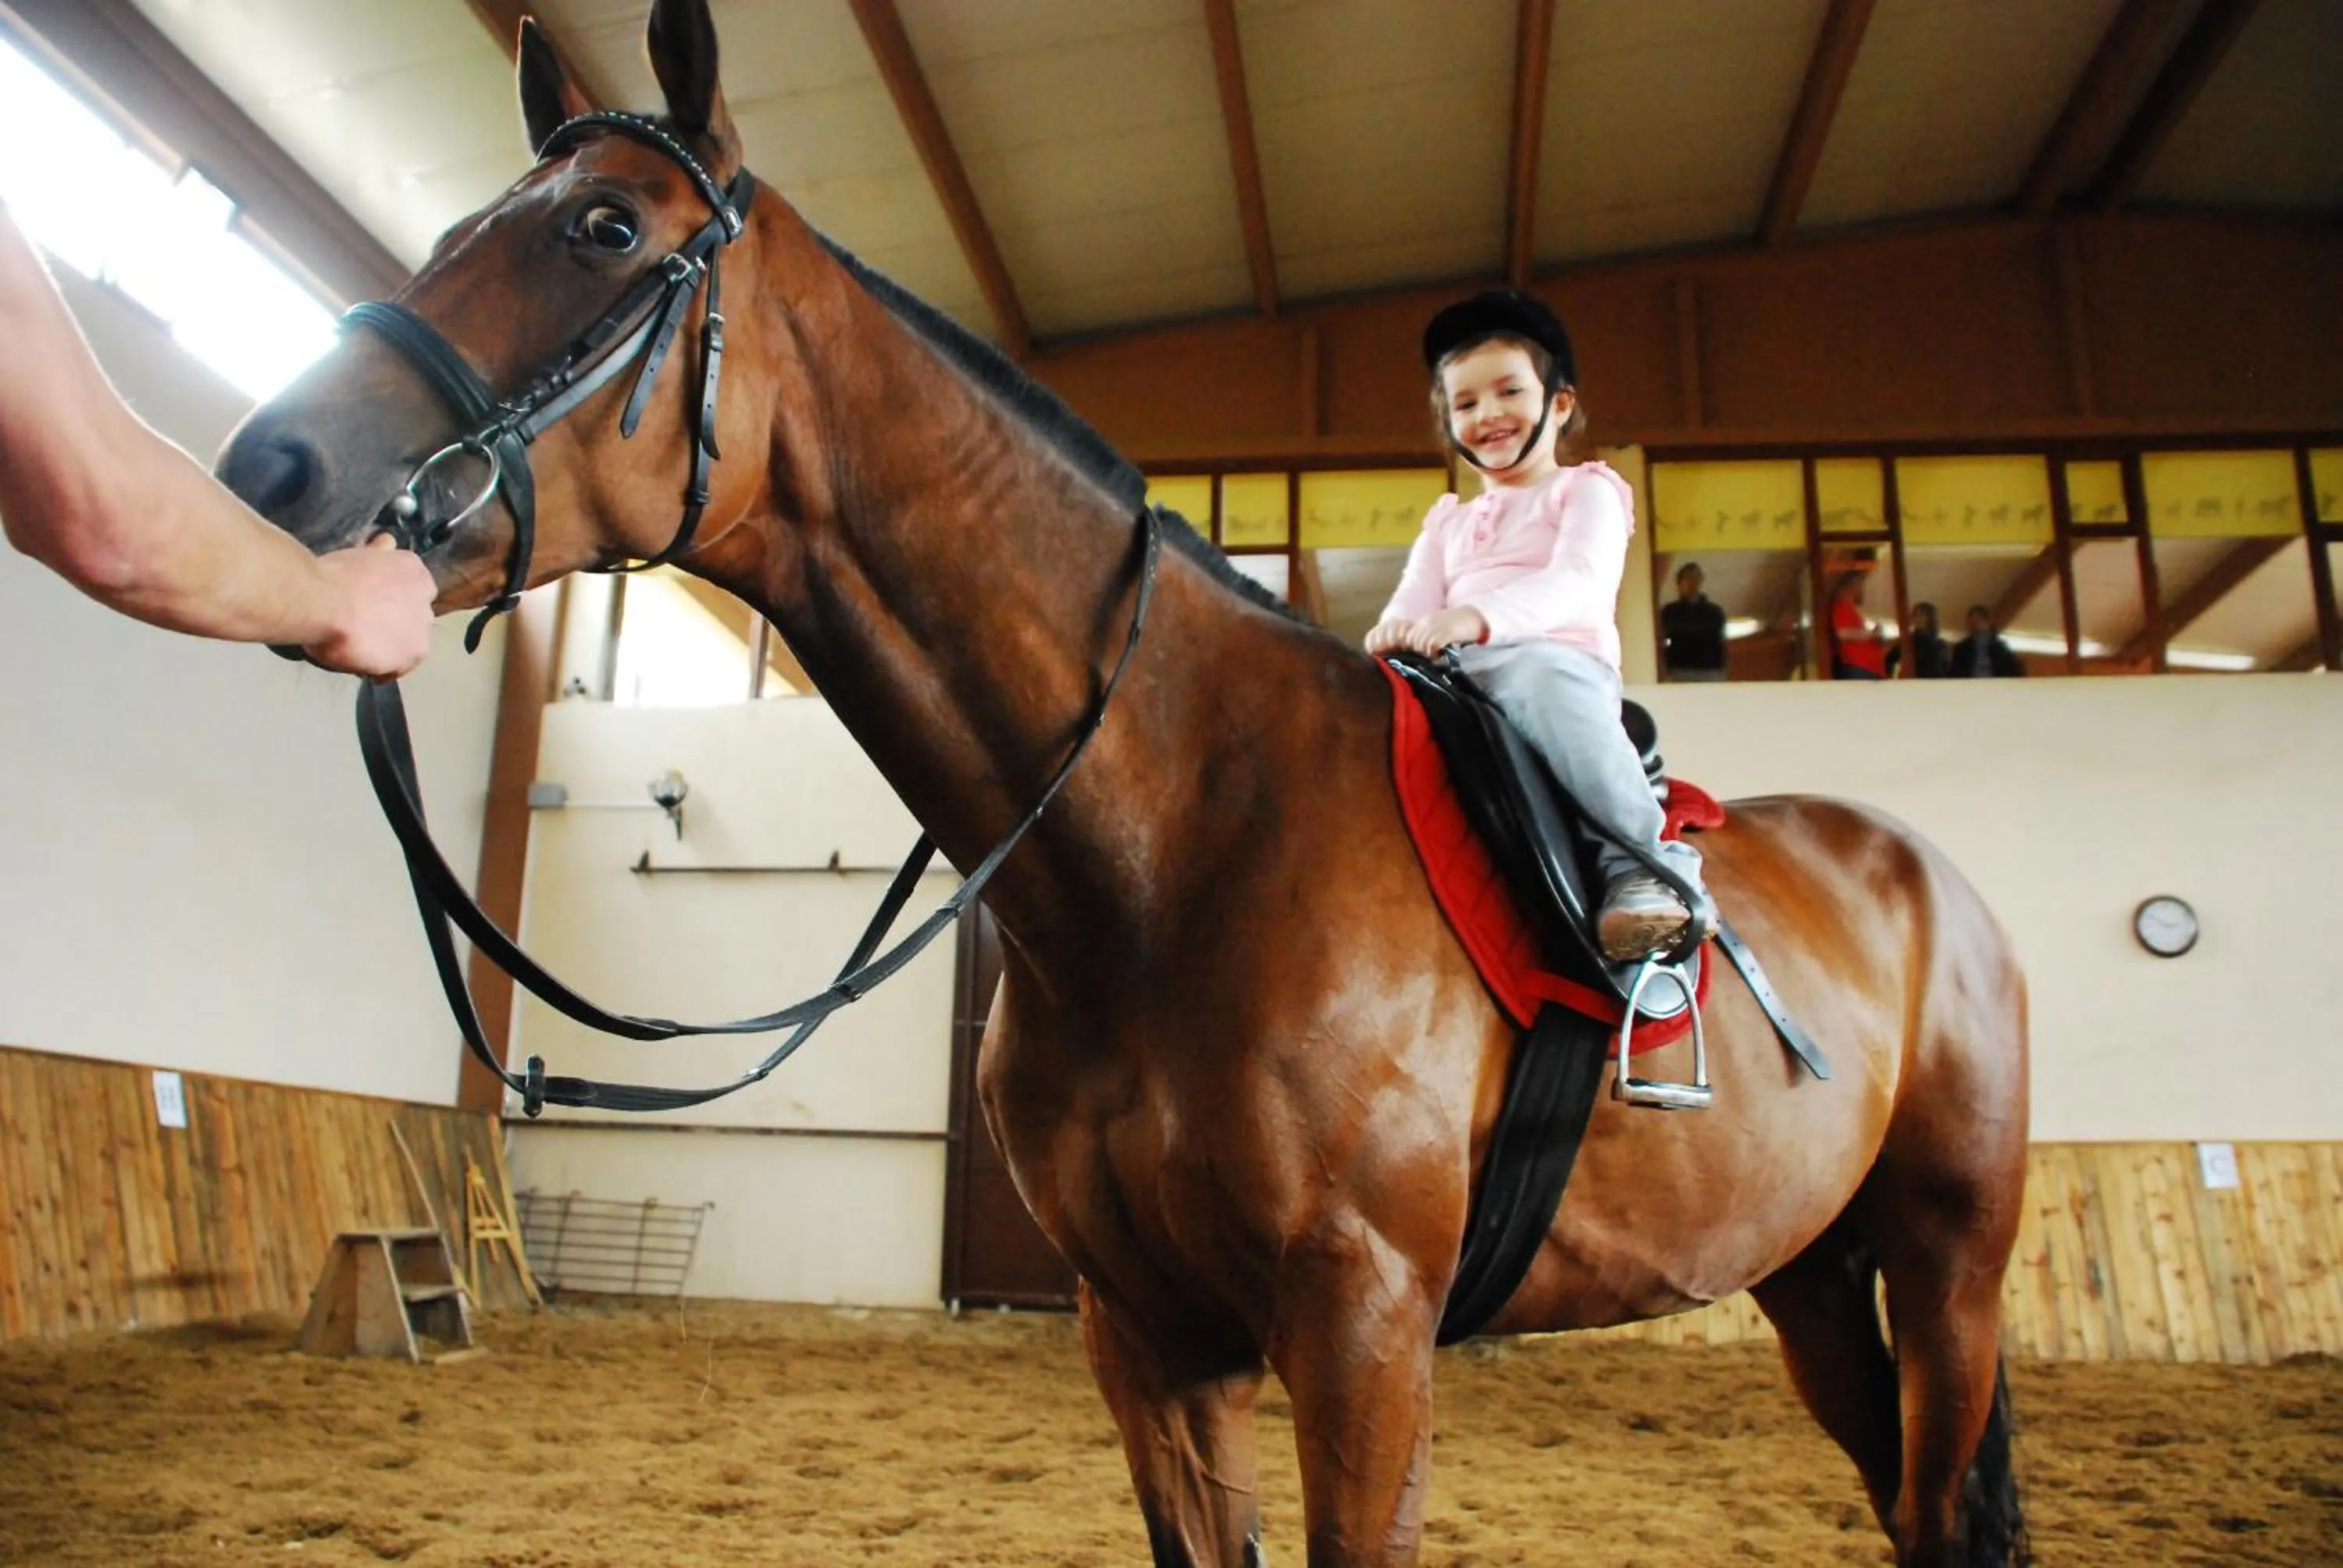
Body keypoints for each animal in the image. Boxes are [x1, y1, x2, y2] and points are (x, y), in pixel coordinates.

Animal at [216, 4, 2030, 1562]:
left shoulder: (1364, 1329)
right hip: (1811, 1276)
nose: (270, 471)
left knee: (1937, 1503)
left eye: (602, 227)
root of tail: (1929, 878)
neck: (1183, 839)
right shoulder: (1146, 1337)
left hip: (1947, 1264)